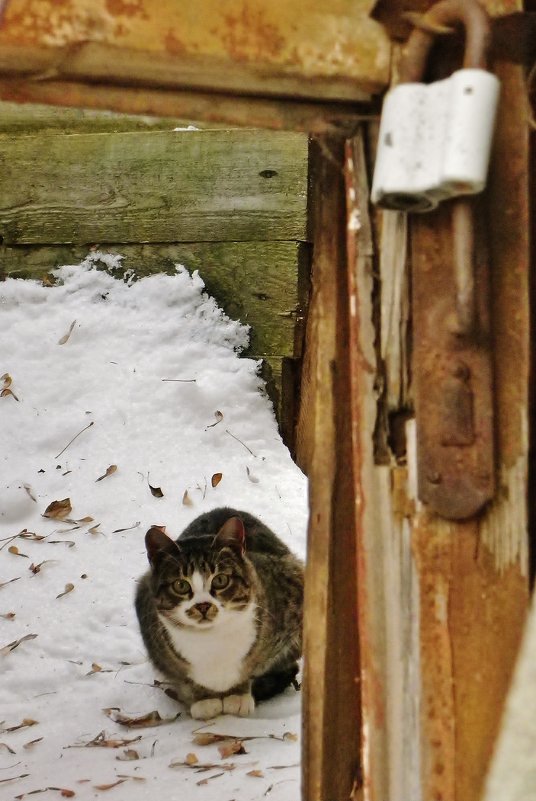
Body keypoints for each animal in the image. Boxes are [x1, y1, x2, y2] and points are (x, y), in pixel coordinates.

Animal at [134, 506, 304, 720]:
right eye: (180, 585)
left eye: (220, 580)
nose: (203, 605)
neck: (212, 640)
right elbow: (185, 678)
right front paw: (204, 699)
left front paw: (238, 695)